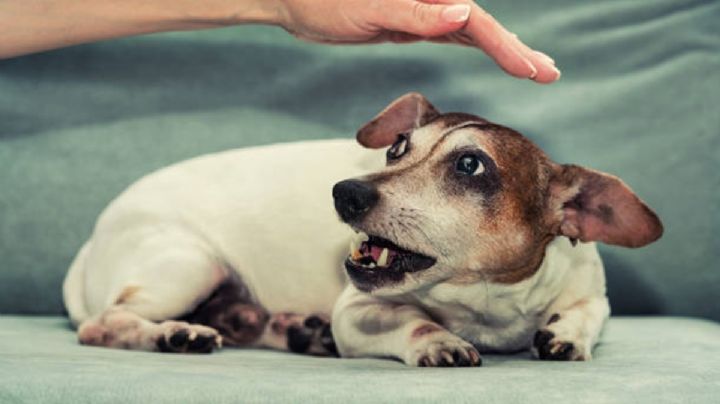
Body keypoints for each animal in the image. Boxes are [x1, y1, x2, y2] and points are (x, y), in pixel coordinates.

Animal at [63, 93, 664, 368]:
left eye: (470, 165)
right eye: (397, 148)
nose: (345, 192)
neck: (484, 304)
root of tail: (90, 243)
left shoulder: (591, 291)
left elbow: (587, 313)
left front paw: (567, 335)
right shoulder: (357, 311)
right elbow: (413, 323)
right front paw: (439, 340)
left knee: (238, 319)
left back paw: (293, 330)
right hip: (189, 264)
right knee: (102, 324)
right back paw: (173, 334)